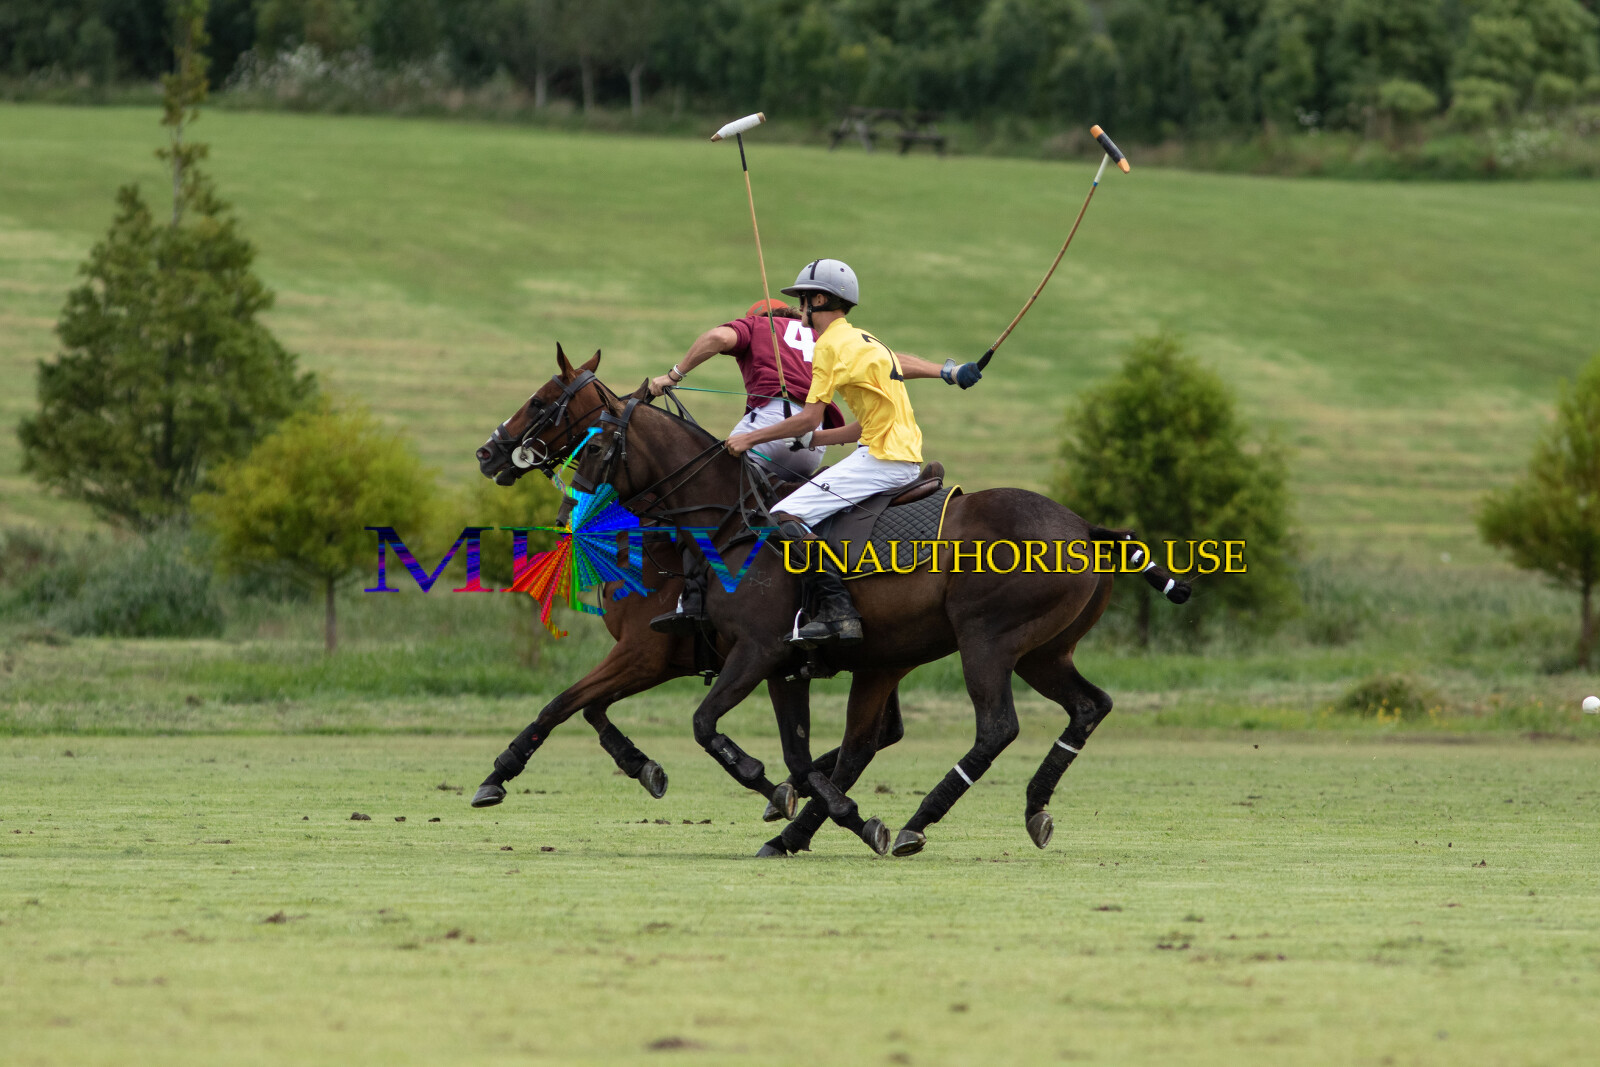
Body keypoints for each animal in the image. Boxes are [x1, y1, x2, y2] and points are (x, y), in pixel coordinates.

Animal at [481, 347, 1191, 857]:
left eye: (544, 403)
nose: (490, 453)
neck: (717, 520)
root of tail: (1087, 529)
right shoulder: (768, 663)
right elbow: (586, 706)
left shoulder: (728, 651)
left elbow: (689, 723)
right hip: (1033, 650)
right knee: (1083, 707)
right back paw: (1024, 807)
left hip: (988, 638)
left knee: (993, 728)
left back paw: (912, 821)